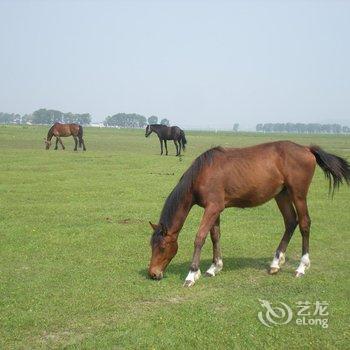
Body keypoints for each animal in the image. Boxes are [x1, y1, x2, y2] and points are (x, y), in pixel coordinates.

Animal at [148, 141, 350, 286]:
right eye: (151, 246)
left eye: (162, 247)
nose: (153, 273)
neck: (203, 173)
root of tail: (307, 149)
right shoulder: (215, 209)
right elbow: (215, 236)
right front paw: (214, 267)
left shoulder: (212, 208)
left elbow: (200, 237)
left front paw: (192, 274)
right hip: (282, 195)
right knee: (290, 222)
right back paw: (275, 263)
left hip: (298, 195)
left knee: (304, 224)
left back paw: (302, 266)